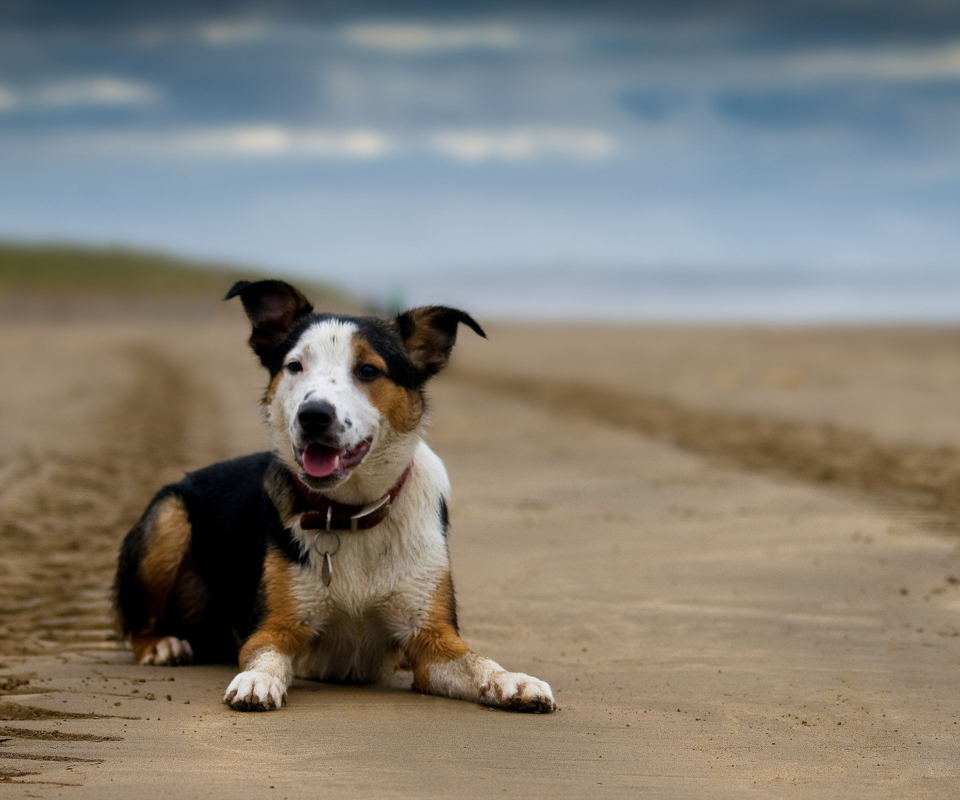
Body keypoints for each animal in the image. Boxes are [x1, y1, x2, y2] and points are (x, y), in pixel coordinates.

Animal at [114, 280, 556, 712]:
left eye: (368, 370)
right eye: (295, 366)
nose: (314, 416)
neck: (349, 511)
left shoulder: (431, 638)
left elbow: (478, 661)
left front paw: (514, 680)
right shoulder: (273, 628)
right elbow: (266, 657)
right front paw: (257, 680)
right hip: (168, 518)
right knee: (137, 623)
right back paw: (163, 645)